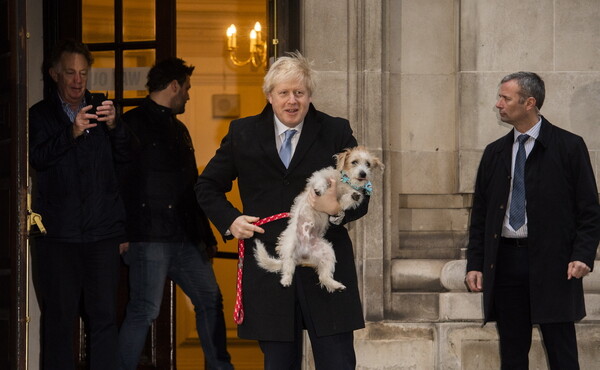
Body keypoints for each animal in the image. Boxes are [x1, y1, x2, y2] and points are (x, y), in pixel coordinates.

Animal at [253, 145, 384, 292]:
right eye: (354, 162)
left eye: (368, 164)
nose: (363, 174)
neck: (346, 182)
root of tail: (303, 256)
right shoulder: (321, 175)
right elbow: (321, 181)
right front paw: (320, 189)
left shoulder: (345, 199)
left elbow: (346, 201)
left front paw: (351, 199)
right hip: (289, 244)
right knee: (288, 265)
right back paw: (286, 280)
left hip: (327, 253)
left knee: (323, 277)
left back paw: (336, 285)